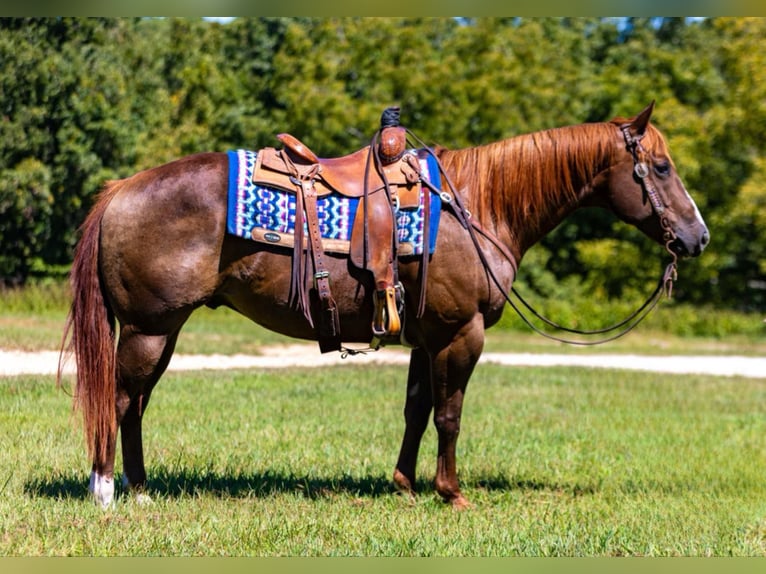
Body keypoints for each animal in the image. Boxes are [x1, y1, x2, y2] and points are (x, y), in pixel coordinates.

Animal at [59, 102, 709, 509]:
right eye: (660, 167)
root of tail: (120, 191)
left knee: (134, 405)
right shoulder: (461, 333)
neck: (477, 204)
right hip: (147, 329)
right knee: (120, 400)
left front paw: (404, 484)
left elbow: (417, 411)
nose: (698, 237)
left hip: (160, 332)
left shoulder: (428, 337)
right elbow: (450, 414)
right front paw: (451, 493)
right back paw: (107, 492)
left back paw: (140, 488)